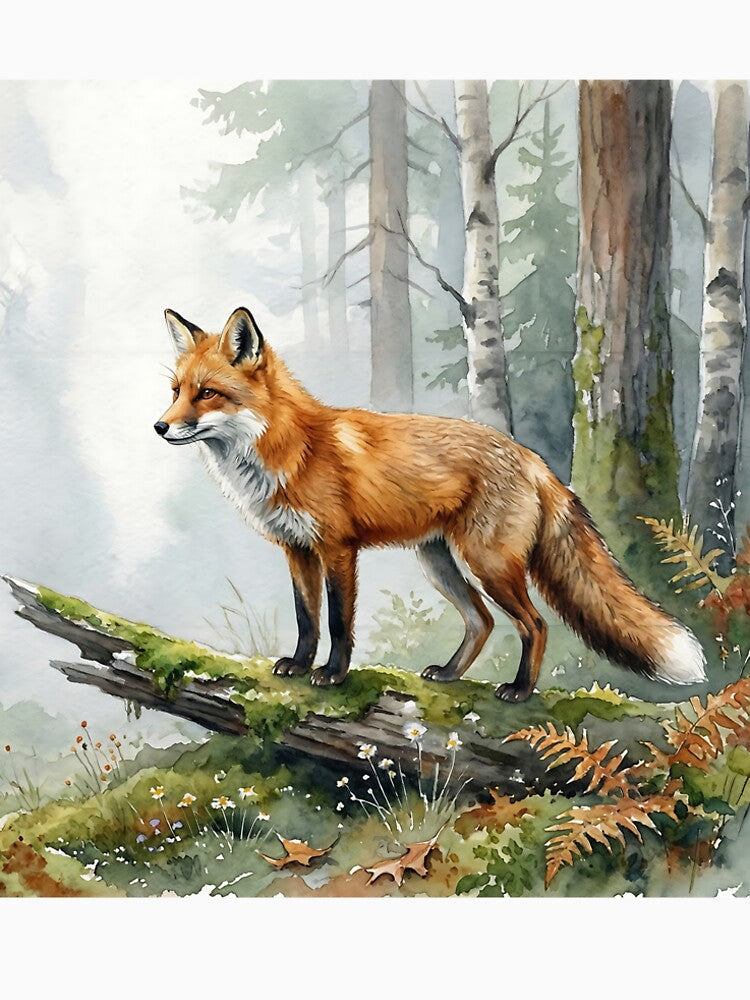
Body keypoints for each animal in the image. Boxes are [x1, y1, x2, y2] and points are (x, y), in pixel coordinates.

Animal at [154, 305, 707, 702]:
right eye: (177, 391)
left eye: (208, 394)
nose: (160, 426)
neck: (289, 449)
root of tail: (530, 456)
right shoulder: (296, 549)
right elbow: (306, 619)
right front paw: (298, 664)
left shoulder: (337, 548)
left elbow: (338, 622)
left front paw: (332, 674)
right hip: (438, 562)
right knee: (482, 622)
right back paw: (450, 674)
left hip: (488, 564)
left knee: (534, 624)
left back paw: (521, 690)